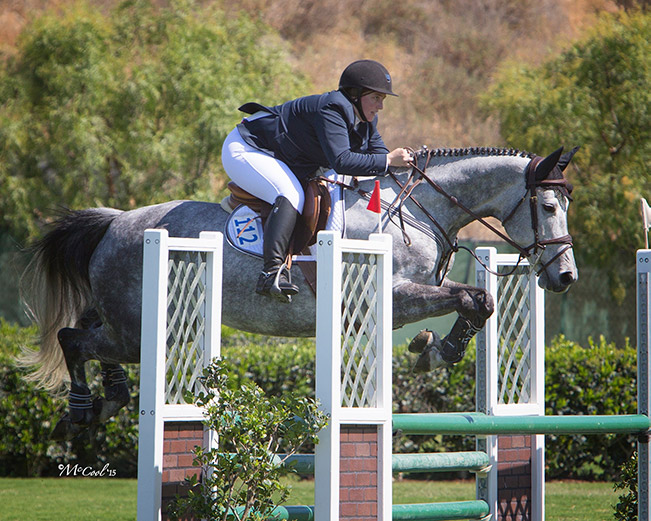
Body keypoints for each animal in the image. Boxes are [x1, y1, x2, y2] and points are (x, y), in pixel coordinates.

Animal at [20, 145, 580, 438]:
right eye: (549, 207)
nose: (565, 278)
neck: (416, 211)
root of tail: (116, 222)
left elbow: (479, 301)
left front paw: (435, 348)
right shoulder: (396, 295)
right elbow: (470, 298)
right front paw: (433, 351)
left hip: (141, 320)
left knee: (92, 334)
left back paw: (108, 398)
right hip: (143, 326)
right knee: (75, 340)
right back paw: (83, 408)